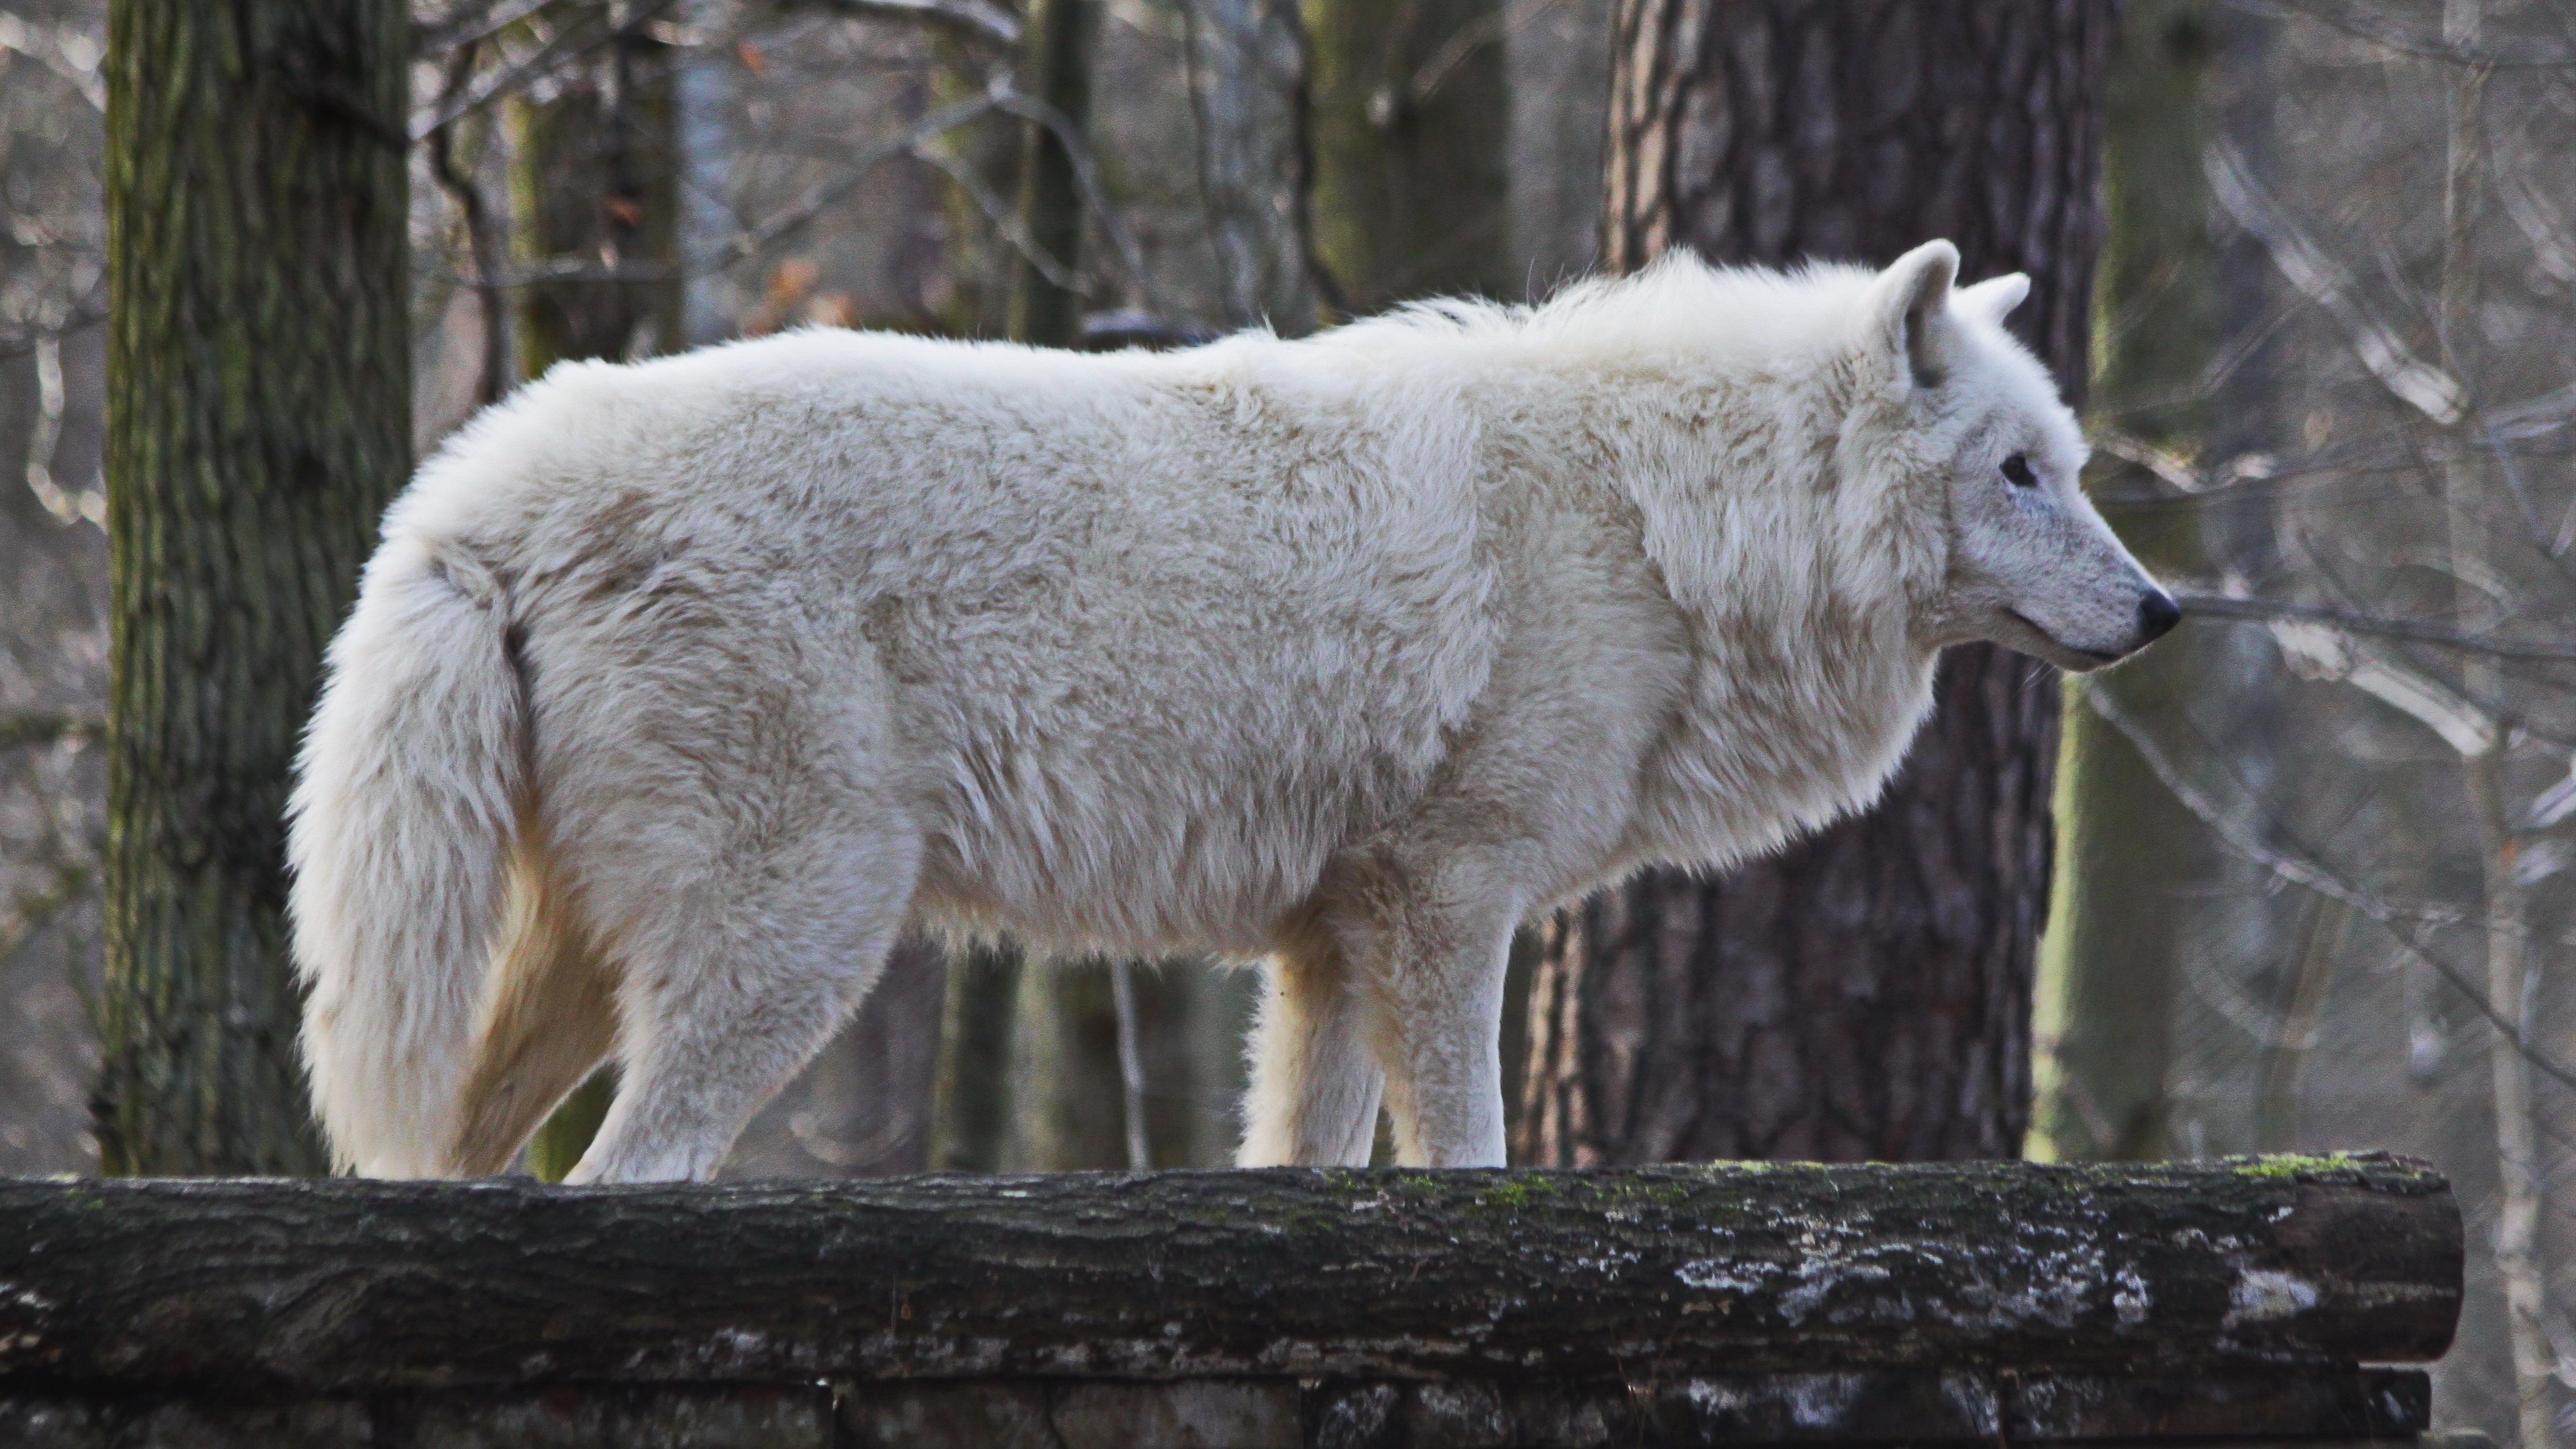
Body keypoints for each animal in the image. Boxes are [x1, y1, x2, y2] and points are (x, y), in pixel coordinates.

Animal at [281, 237, 2174, 1181]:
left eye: (2073, 467)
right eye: (2016, 472)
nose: (2160, 611)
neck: (1658, 516)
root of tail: (476, 494)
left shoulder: (1328, 937)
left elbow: (1300, 1160)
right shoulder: (1445, 899)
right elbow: (1470, 1156)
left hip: (569, 971)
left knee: (438, 1170)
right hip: (798, 940)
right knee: (623, 1181)